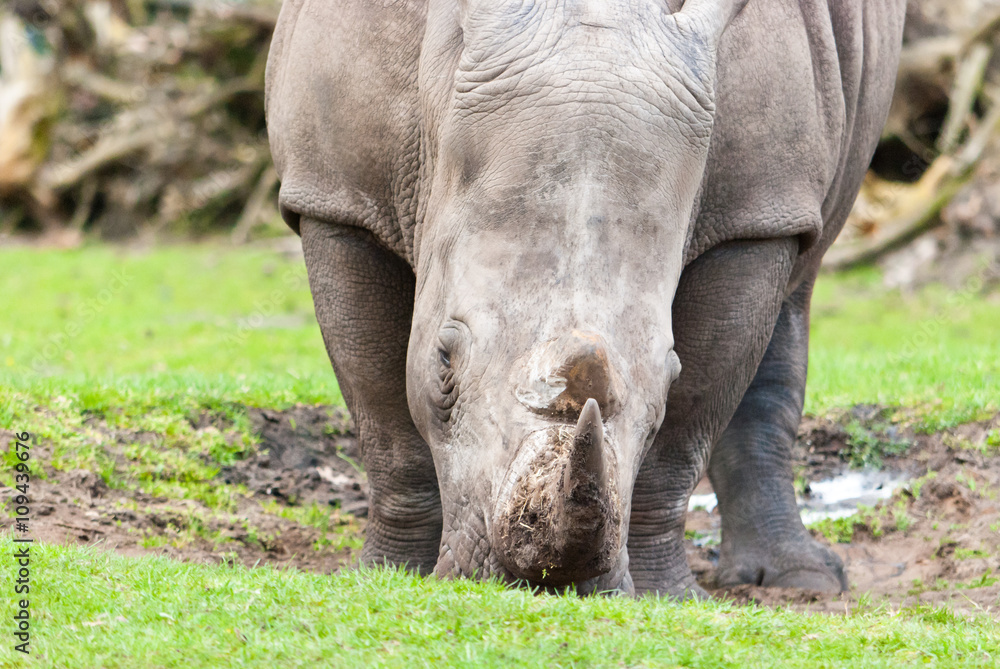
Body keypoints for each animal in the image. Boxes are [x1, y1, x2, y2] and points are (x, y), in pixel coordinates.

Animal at [265, 0, 907, 597]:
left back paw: (803, 582)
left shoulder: (755, 214)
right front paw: (384, 575)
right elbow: (383, 414)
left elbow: (685, 429)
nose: (542, 582)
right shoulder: (335, 196)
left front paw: (665, 596)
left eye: (667, 377)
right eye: (443, 363)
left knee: (799, 283)